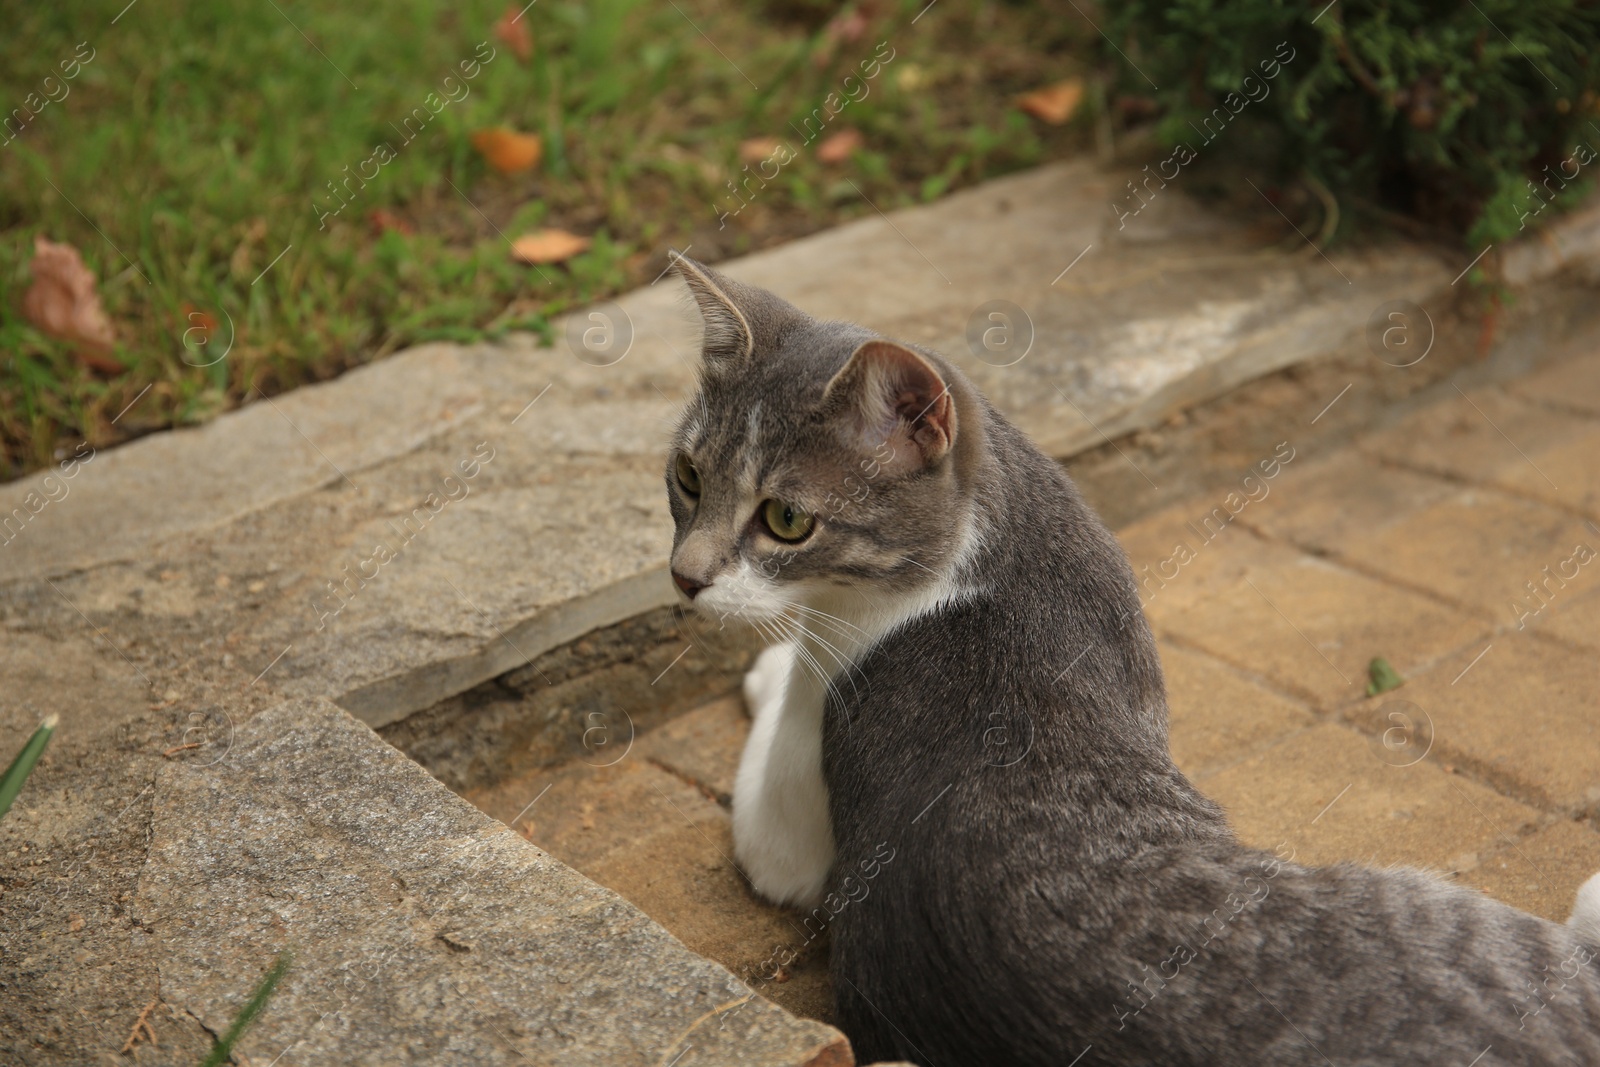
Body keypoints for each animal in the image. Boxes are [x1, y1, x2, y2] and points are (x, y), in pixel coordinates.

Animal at [659, 254, 1600, 1062]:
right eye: (687, 478)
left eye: (787, 520)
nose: (685, 577)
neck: (974, 557)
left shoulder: (788, 813)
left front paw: (766, 664)